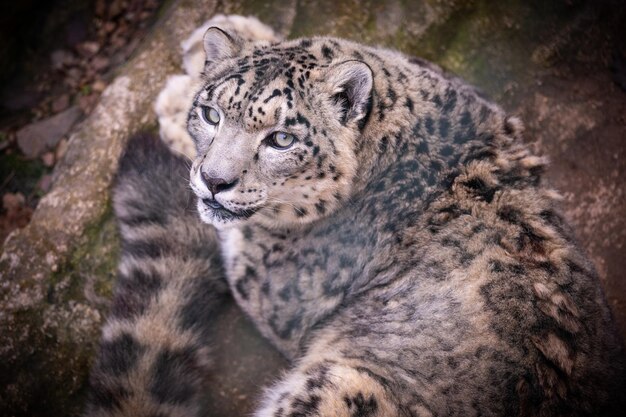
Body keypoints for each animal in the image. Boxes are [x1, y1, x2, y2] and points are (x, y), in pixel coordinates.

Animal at [86, 14, 624, 414]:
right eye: (212, 114)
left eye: (281, 139)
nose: (215, 181)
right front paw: (220, 32)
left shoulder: (277, 284)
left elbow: (240, 234)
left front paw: (173, 96)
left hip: (341, 386)